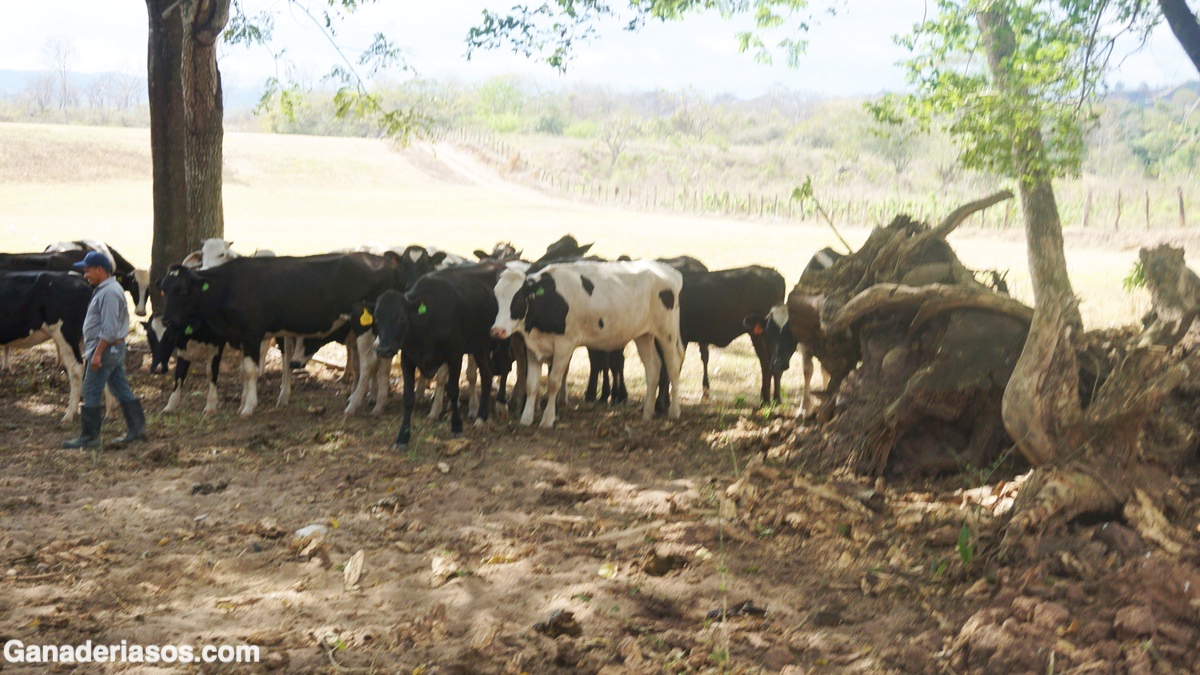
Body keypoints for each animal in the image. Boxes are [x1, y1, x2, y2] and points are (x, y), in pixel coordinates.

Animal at [159, 253, 400, 416]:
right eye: (163, 289)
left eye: (182, 289)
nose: (166, 319)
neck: (230, 285)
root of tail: (383, 262)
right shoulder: (242, 337)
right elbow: (243, 370)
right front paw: (244, 401)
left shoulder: (252, 333)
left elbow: (250, 370)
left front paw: (248, 406)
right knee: (382, 361)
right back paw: (379, 403)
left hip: (363, 323)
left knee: (368, 363)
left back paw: (353, 404)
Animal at [372, 262, 504, 449]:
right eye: (376, 317)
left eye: (402, 316)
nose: (384, 349)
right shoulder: (407, 358)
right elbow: (408, 397)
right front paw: (402, 437)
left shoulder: (454, 354)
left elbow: (453, 390)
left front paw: (456, 426)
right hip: (479, 346)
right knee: (486, 374)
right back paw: (481, 417)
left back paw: (481, 416)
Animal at [503, 259, 684, 428]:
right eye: (498, 300)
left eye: (518, 298)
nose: (498, 329)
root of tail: (670, 271)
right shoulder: (533, 347)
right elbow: (531, 384)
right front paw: (526, 418)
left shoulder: (565, 345)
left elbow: (553, 382)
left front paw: (547, 420)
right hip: (643, 335)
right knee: (653, 367)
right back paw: (647, 413)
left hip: (668, 334)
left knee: (673, 366)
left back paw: (674, 411)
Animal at [655, 264, 786, 408]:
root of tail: (776, 275)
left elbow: (667, 370)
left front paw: (661, 404)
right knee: (774, 365)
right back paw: (776, 398)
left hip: (759, 335)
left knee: (766, 363)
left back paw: (765, 400)